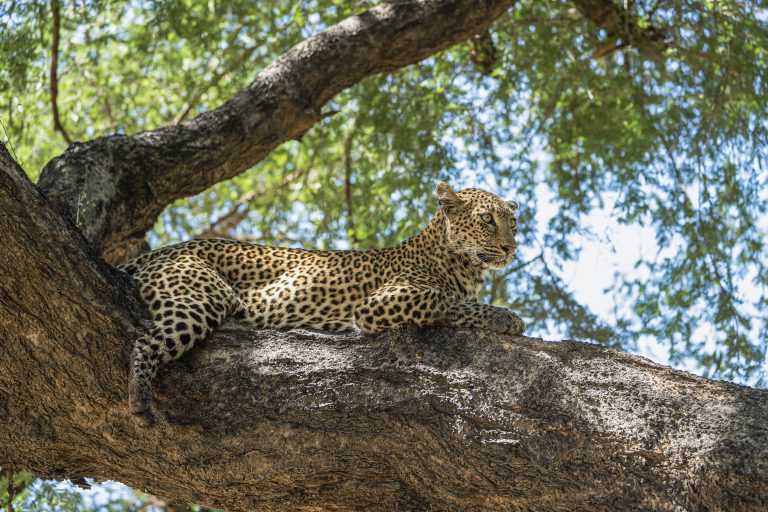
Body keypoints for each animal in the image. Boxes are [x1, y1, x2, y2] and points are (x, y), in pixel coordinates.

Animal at [120, 181, 525, 421]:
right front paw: (507, 317)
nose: (511, 248)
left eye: (513, 223)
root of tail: (161, 251)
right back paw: (139, 399)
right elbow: (449, 302)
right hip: (203, 294)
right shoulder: (382, 302)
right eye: (487, 220)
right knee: (145, 342)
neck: (463, 264)